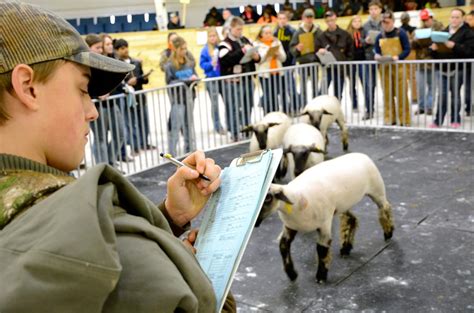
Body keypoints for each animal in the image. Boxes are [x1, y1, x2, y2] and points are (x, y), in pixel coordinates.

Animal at [258, 152, 394, 282]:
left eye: (268, 197)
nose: (255, 223)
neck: (297, 200)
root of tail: (362, 155)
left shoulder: (325, 224)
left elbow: (321, 249)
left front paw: (321, 277)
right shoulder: (290, 226)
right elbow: (283, 246)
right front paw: (292, 274)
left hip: (377, 191)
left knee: (385, 208)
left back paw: (388, 233)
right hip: (342, 205)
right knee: (351, 219)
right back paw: (346, 249)